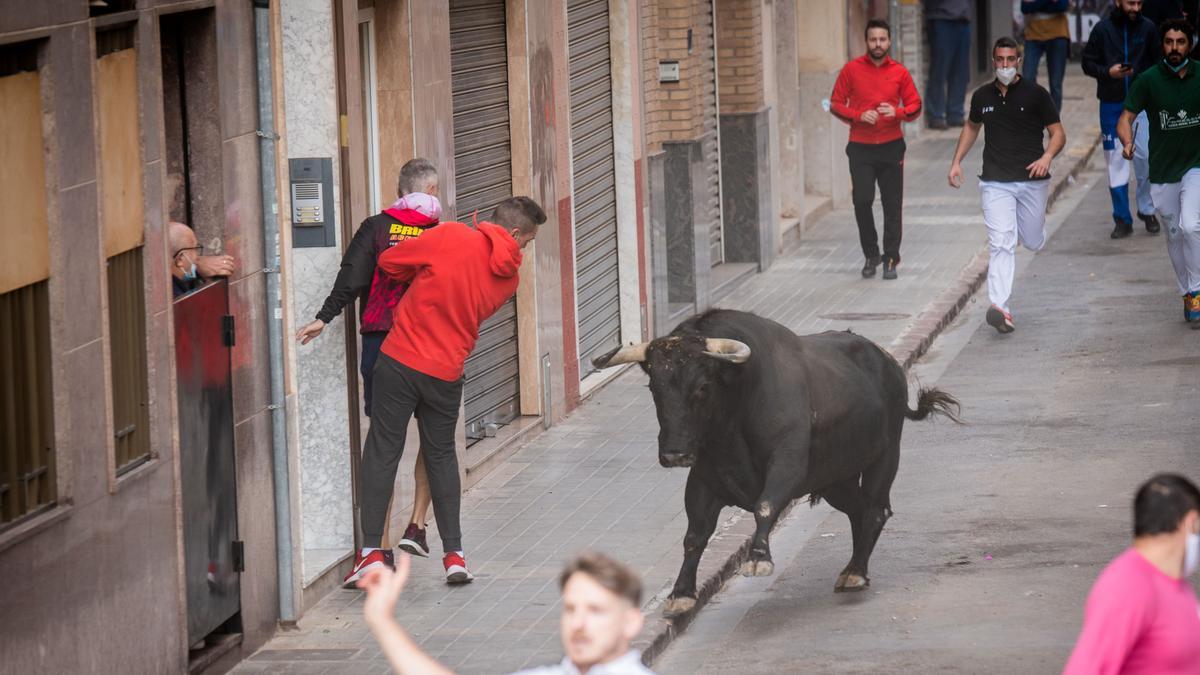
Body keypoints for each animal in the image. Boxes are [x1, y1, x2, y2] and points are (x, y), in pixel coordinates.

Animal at [590, 309, 955, 614]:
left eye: (702, 387)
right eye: (655, 387)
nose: (674, 453)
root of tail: (886, 360)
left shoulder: (787, 464)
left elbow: (765, 506)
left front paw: (758, 558)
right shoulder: (703, 481)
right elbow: (694, 534)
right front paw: (681, 593)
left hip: (885, 457)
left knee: (877, 509)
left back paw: (856, 572)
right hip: (836, 479)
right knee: (859, 510)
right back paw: (853, 568)